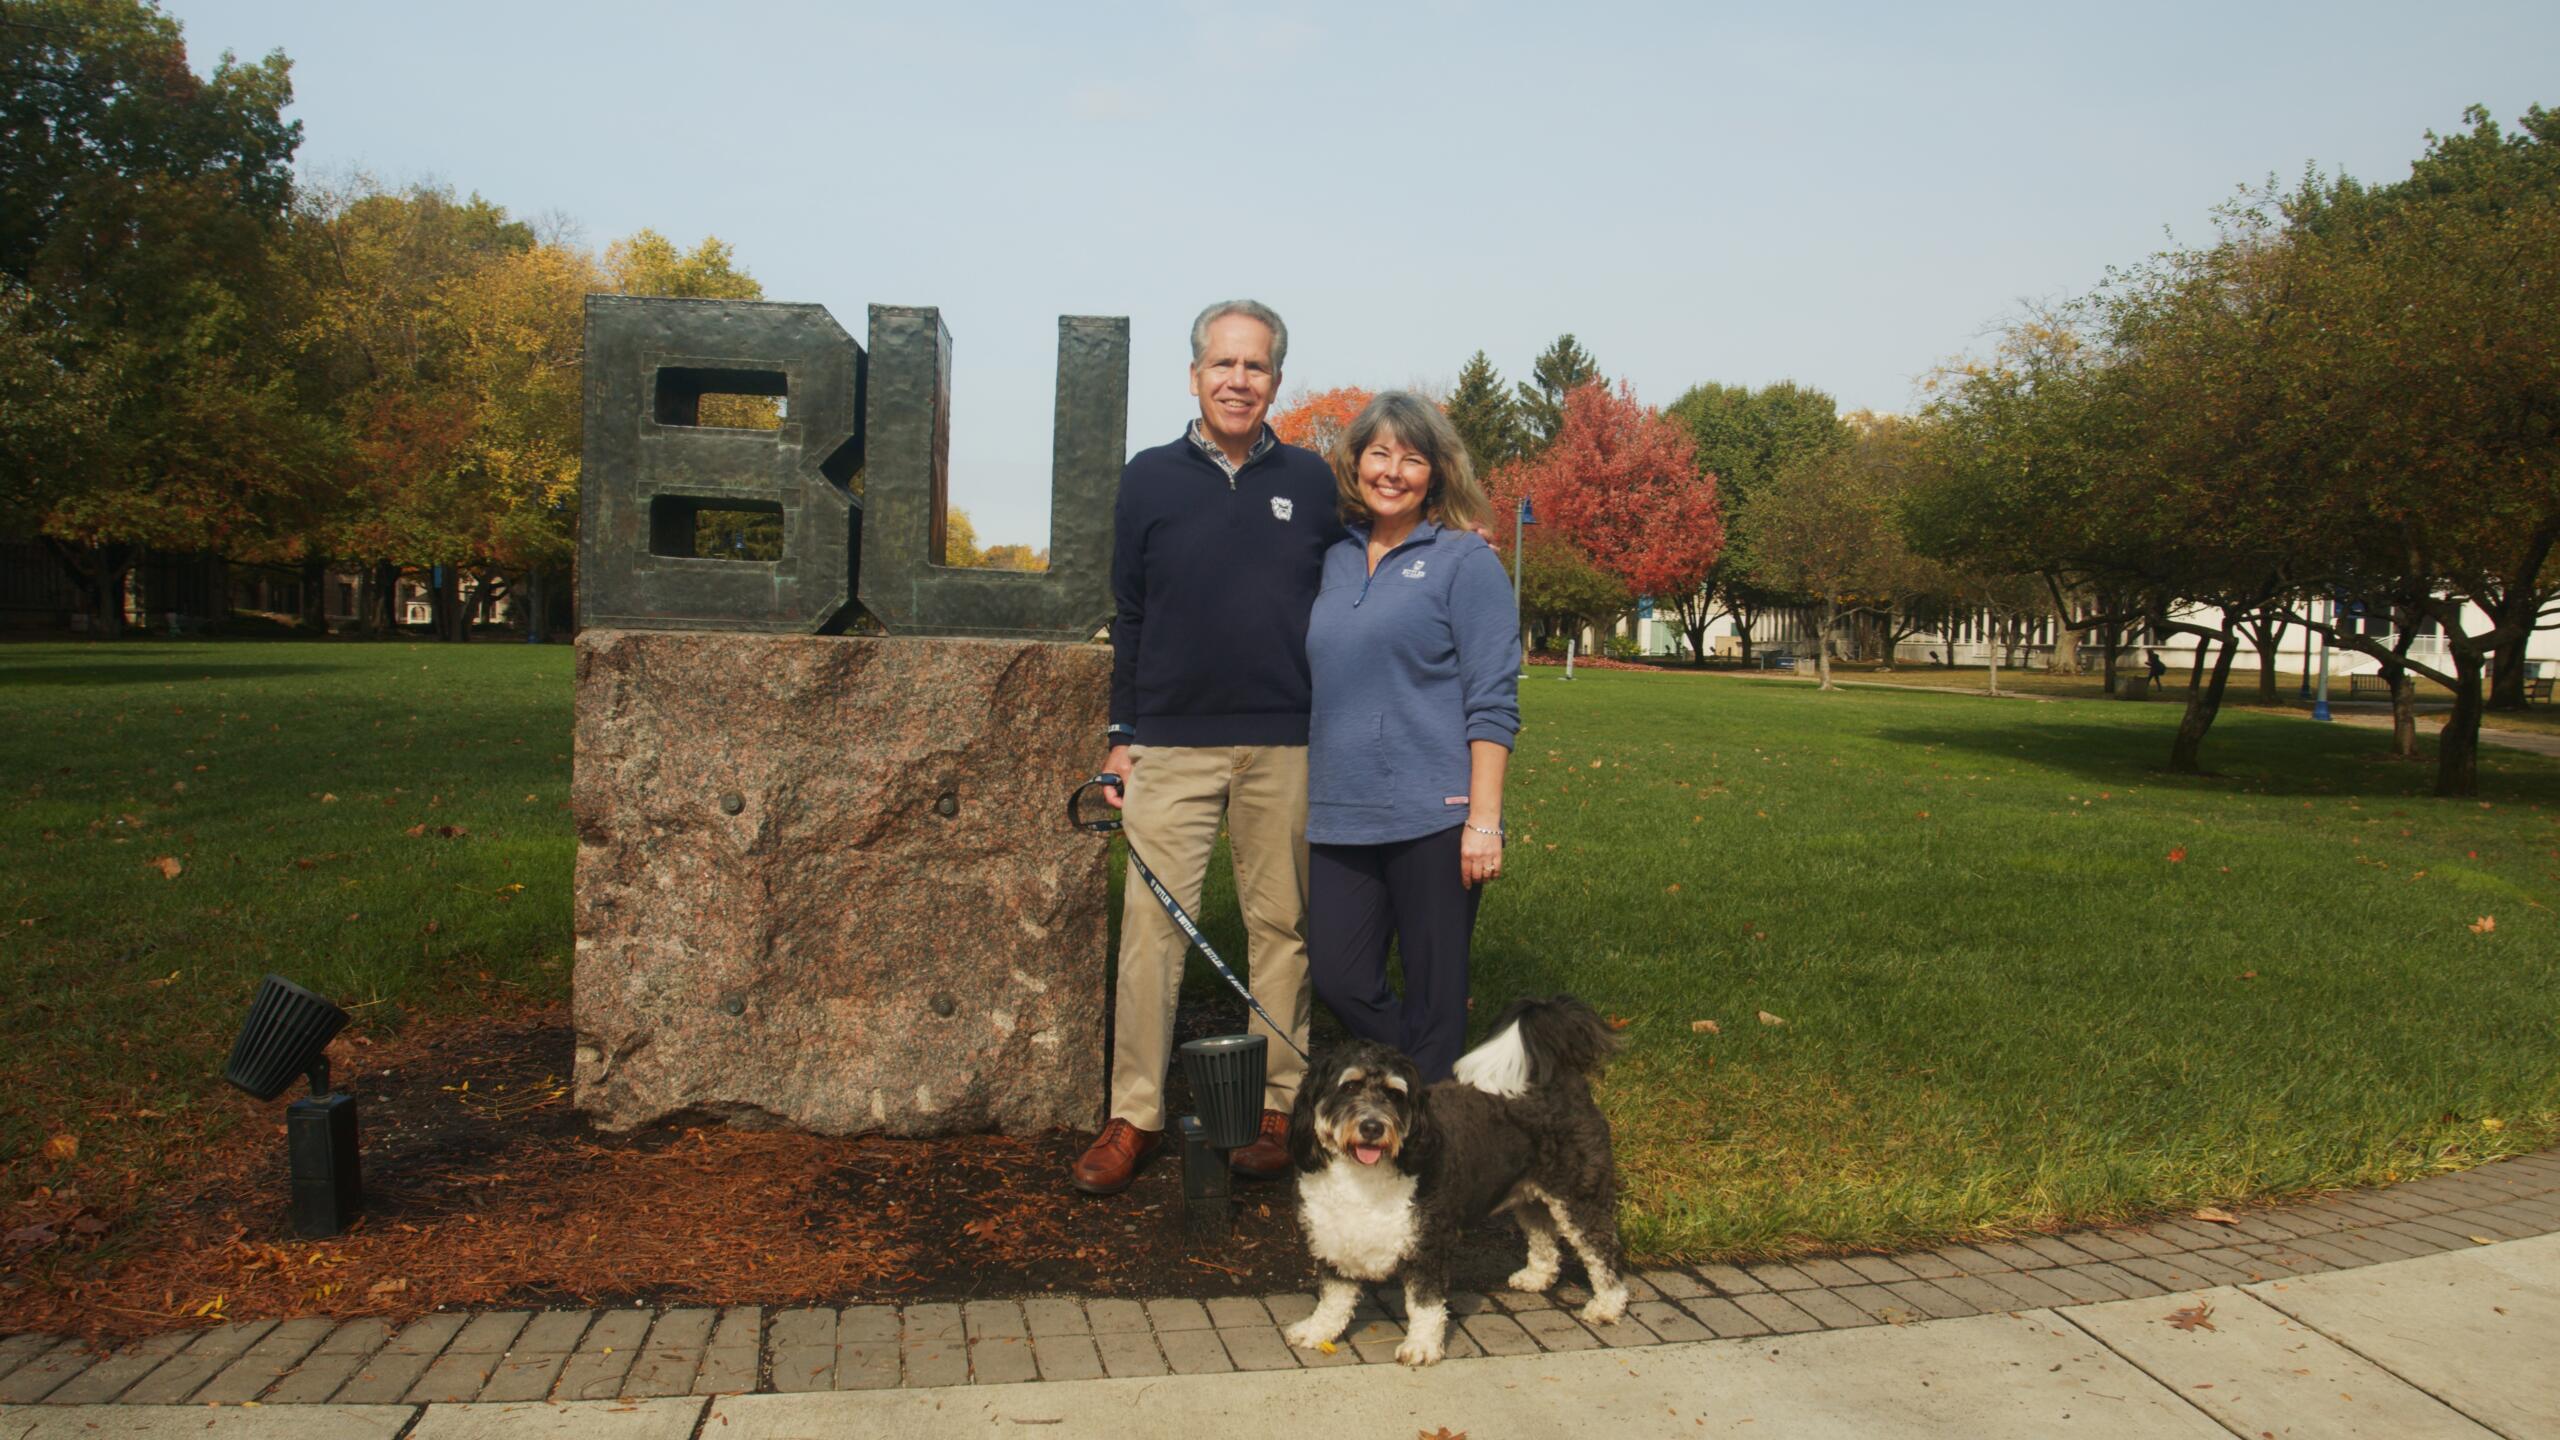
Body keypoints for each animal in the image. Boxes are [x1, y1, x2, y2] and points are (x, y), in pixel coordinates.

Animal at [1280, 994, 1617, 1363]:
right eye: (1349, 1086)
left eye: (1395, 1094)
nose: (1372, 1127)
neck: (1363, 1179)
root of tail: (1560, 1077)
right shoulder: (1333, 1240)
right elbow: (1334, 1298)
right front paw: (1318, 1331)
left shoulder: (1430, 1245)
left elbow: (1425, 1306)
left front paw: (1421, 1345)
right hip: (1531, 1196)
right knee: (1543, 1236)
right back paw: (1537, 1276)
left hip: (1578, 1196)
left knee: (1600, 1251)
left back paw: (1608, 1305)